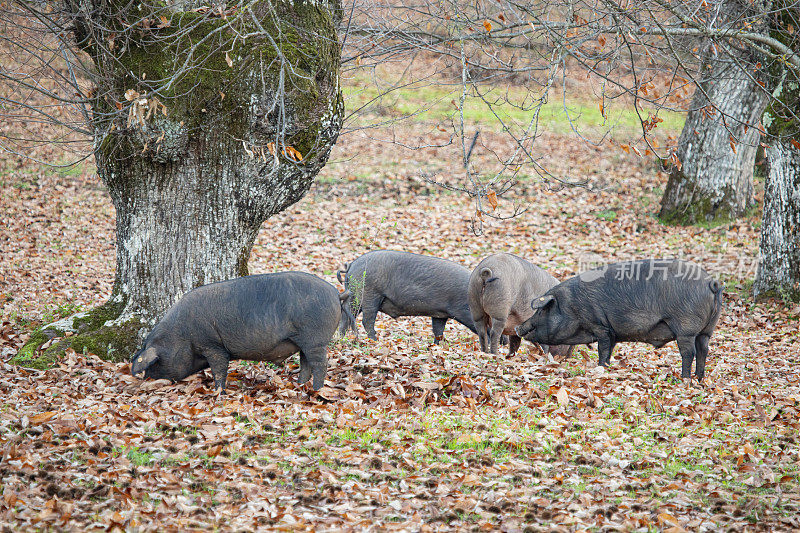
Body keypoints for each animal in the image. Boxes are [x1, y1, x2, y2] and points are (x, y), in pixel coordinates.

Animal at [131, 274, 356, 390]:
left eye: (156, 361)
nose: (146, 381)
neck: (181, 334)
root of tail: (336, 293)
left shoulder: (212, 345)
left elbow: (219, 368)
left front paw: (217, 391)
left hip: (315, 339)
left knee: (320, 364)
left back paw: (316, 390)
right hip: (305, 341)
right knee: (306, 364)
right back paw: (299, 386)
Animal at [338, 250, 482, 342]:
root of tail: (351, 265)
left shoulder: (439, 314)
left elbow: (438, 331)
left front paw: (437, 346)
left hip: (355, 298)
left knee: (345, 318)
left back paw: (341, 339)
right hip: (370, 295)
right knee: (366, 321)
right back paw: (375, 341)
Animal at [516, 256, 720, 378]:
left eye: (542, 310)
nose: (518, 328)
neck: (572, 306)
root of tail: (711, 282)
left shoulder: (600, 326)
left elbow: (602, 349)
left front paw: (600, 368)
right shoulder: (612, 332)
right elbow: (609, 351)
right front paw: (606, 367)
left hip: (686, 327)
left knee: (689, 352)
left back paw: (685, 378)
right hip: (707, 330)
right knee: (704, 350)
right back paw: (699, 378)